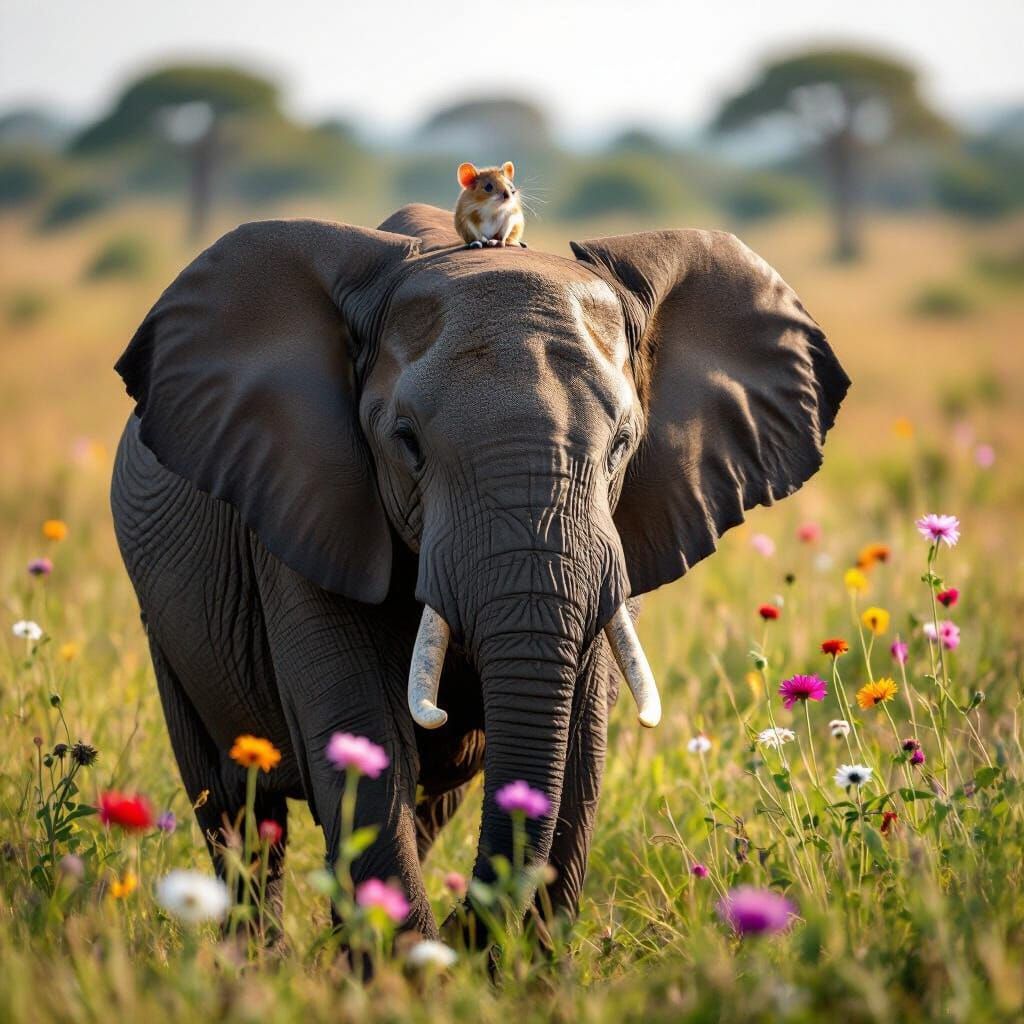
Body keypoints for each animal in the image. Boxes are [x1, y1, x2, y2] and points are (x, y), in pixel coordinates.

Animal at [110, 202, 849, 944]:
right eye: (406, 442)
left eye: (621, 445)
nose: (471, 925)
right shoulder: (305, 509)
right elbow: (362, 742)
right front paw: (412, 964)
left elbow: (579, 746)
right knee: (235, 811)